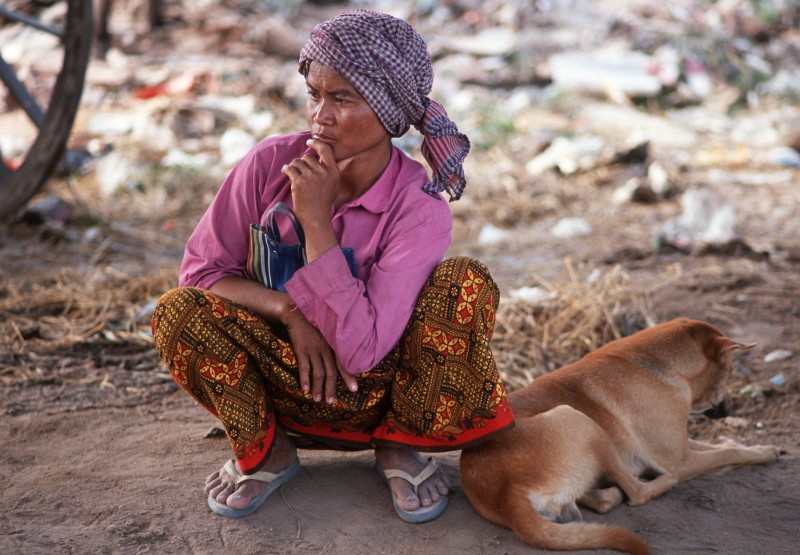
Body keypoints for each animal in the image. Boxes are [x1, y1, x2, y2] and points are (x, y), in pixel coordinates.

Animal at [462, 318, 780, 555]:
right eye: (730, 370)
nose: (731, 409)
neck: (661, 364)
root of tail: (505, 493)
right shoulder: (680, 461)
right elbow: (727, 453)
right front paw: (763, 453)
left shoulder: (679, 445)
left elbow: (720, 444)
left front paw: (760, 446)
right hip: (582, 422)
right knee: (637, 493)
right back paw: (653, 482)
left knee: (598, 500)